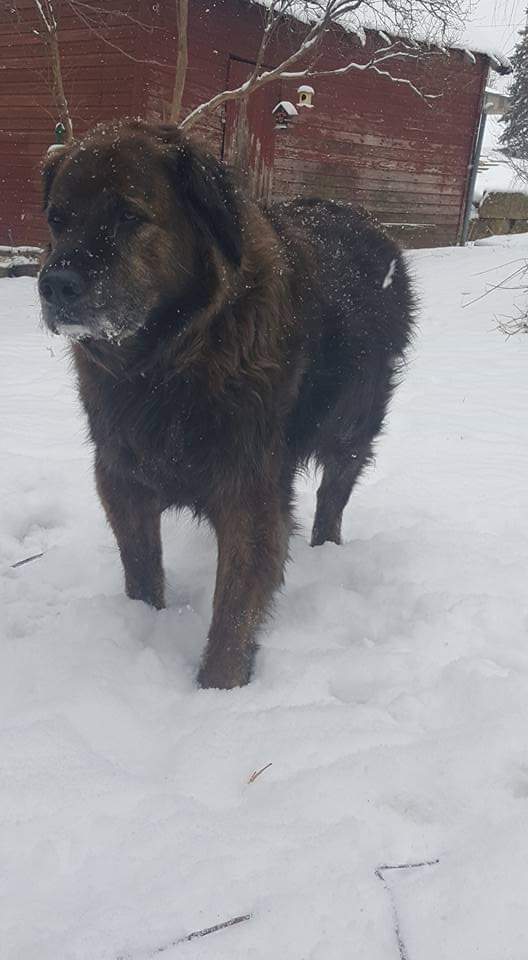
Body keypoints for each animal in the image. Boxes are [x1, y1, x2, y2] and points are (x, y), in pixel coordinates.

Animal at [39, 120, 414, 689]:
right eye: (58, 220)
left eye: (128, 216)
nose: (54, 285)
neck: (168, 364)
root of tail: (364, 219)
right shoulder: (122, 478)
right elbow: (142, 572)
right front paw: (144, 624)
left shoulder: (248, 493)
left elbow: (233, 613)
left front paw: (218, 694)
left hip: (352, 427)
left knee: (333, 496)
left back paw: (326, 549)